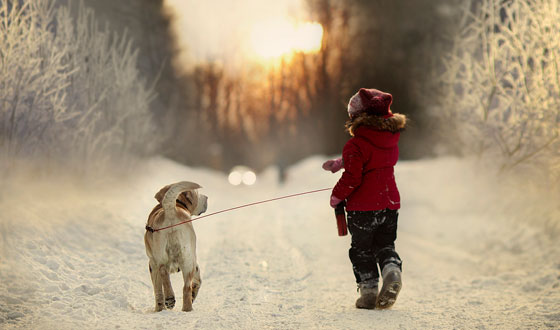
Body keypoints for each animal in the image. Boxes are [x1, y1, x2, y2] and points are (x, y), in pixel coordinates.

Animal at [143, 180, 207, 312]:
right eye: (198, 194)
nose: (207, 197)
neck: (178, 204)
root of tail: (171, 210)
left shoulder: (152, 264)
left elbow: (157, 290)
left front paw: (159, 309)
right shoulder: (194, 263)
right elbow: (197, 282)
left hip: (164, 258)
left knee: (164, 273)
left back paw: (170, 299)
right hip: (187, 259)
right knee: (186, 287)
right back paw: (185, 308)